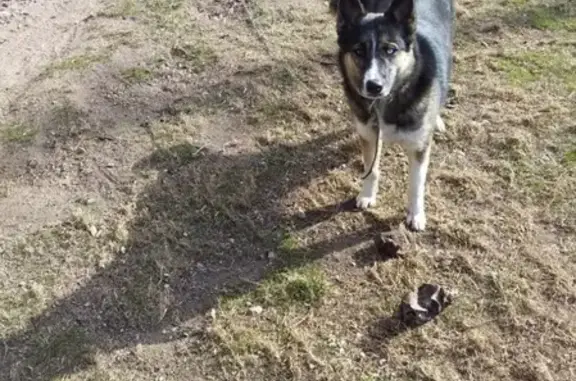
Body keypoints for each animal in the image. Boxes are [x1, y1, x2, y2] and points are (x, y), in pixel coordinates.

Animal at [332, 0, 454, 232]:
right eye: (358, 51)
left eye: (390, 50)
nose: (374, 86)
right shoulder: (369, 135)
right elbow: (371, 169)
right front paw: (367, 195)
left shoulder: (419, 146)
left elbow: (416, 183)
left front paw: (416, 215)